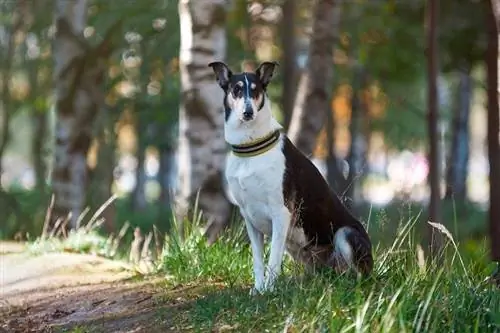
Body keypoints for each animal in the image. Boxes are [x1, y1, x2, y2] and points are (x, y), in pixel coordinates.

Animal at [207, 60, 372, 294]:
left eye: (256, 90)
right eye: (236, 90)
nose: (248, 112)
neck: (251, 148)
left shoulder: (281, 214)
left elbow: (273, 259)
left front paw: (269, 290)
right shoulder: (250, 219)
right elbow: (258, 260)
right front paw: (258, 289)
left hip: (346, 234)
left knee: (359, 276)